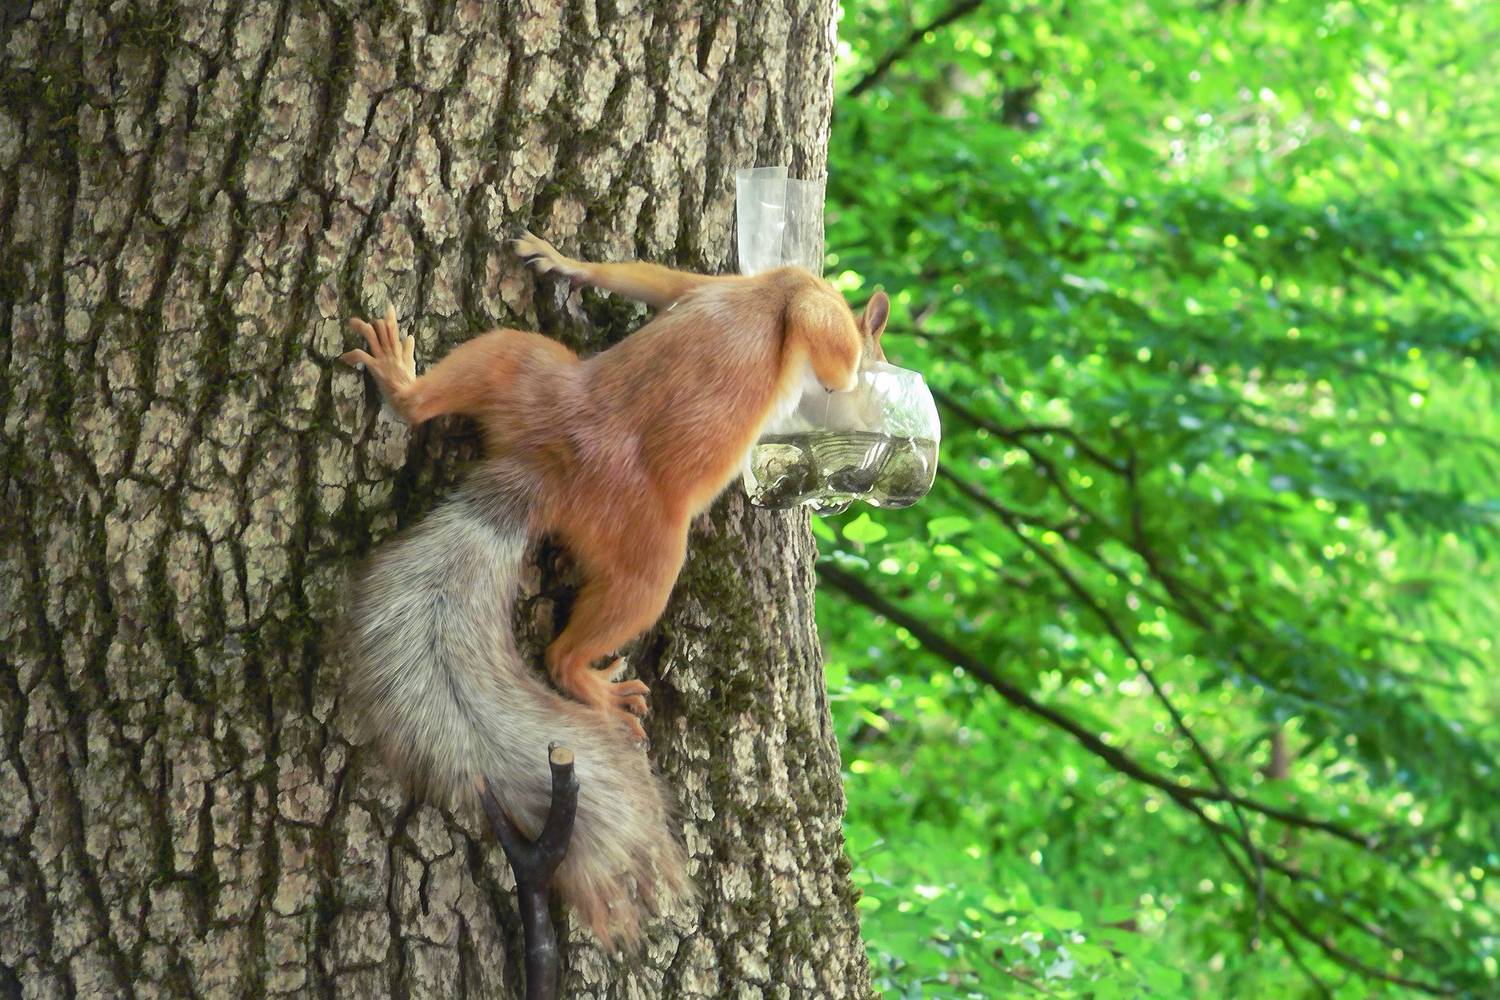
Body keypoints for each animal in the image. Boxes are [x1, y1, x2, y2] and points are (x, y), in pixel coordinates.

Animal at [337, 231, 890, 949]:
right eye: (881, 349)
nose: (883, 382)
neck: (766, 287)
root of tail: (547, 464)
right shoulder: (807, 298)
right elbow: (831, 349)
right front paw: (853, 377)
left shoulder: (702, 286)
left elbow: (653, 282)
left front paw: (563, 262)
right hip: (649, 554)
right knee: (563, 654)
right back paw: (594, 685)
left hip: (522, 366)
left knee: (442, 395)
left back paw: (402, 379)